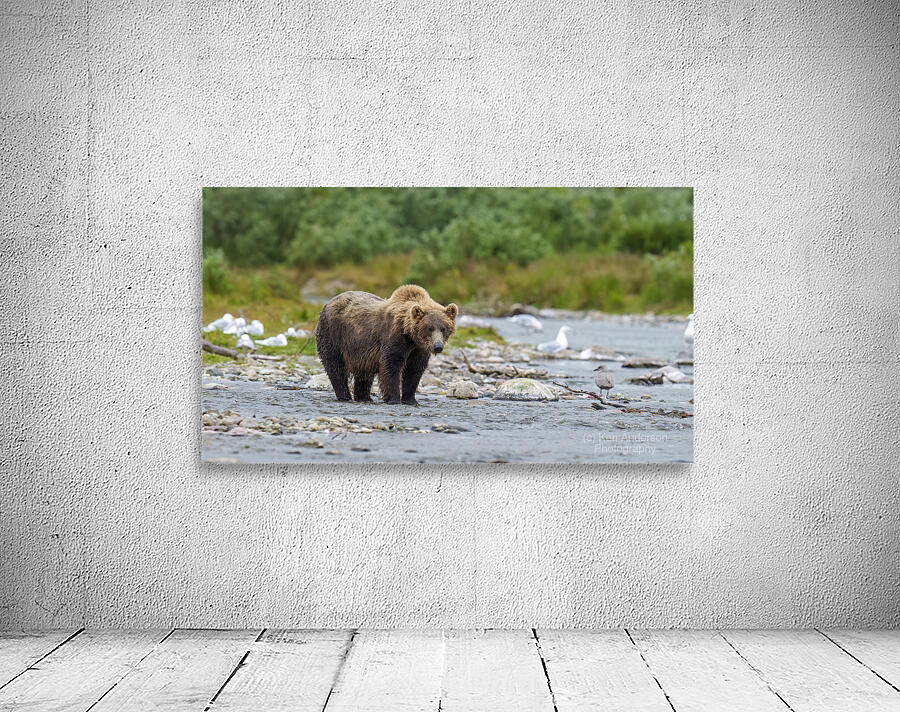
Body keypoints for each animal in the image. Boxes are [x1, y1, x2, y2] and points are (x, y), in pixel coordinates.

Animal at [314, 285, 458, 405]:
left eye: (443, 328)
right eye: (429, 328)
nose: (438, 346)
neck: (410, 336)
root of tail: (328, 302)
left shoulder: (419, 349)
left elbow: (414, 370)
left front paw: (410, 399)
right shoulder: (394, 338)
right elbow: (391, 365)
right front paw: (394, 399)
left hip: (361, 350)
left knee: (364, 373)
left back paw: (364, 397)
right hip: (333, 334)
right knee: (335, 366)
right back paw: (345, 396)